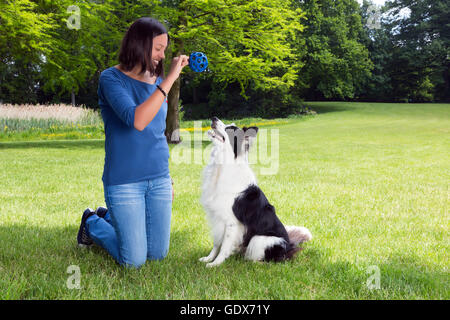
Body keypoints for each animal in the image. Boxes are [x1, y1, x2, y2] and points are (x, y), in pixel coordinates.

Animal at [199, 116, 312, 266]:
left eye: (230, 129)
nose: (214, 118)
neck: (223, 164)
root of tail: (288, 247)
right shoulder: (217, 218)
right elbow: (216, 243)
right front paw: (208, 258)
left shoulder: (231, 222)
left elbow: (224, 246)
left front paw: (216, 264)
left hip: (259, 239)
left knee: (266, 259)